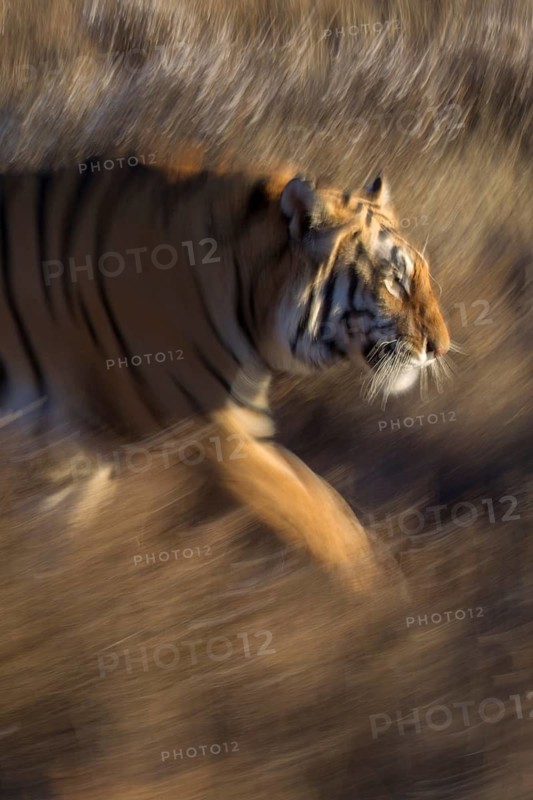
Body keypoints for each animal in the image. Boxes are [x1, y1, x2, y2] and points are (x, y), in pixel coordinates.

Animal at [0, 156, 450, 580]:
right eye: (395, 281)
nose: (440, 348)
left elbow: (329, 502)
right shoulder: (217, 439)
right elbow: (322, 524)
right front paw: (377, 601)